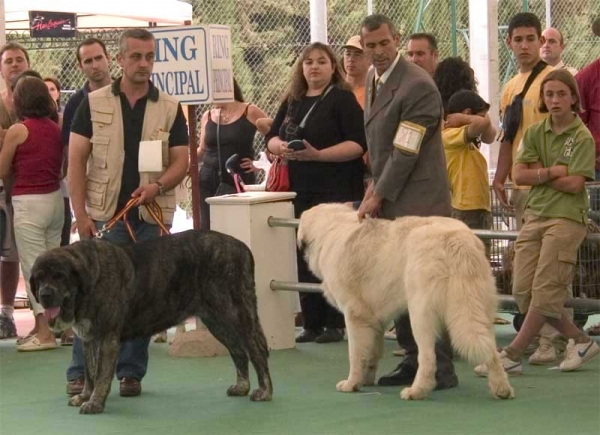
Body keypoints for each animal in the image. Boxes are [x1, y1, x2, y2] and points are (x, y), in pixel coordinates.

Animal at [29, 230, 270, 414]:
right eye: (39, 278)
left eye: (59, 276)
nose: (45, 294)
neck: (88, 283)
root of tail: (242, 248)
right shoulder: (89, 339)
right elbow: (89, 373)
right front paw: (85, 396)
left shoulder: (107, 338)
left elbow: (101, 375)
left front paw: (95, 402)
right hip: (218, 323)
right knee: (238, 351)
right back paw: (242, 386)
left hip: (236, 314)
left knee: (256, 351)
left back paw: (265, 391)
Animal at [298, 204, 512, 402]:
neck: (330, 230)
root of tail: (456, 240)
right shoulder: (375, 321)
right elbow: (372, 353)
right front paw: (366, 381)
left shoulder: (354, 316)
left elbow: (356, 354)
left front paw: (351, 384)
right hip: (478, 309)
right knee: (490, 350)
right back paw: (501, 388)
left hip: (420, 315)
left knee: (427, 358)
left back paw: (416, 391)